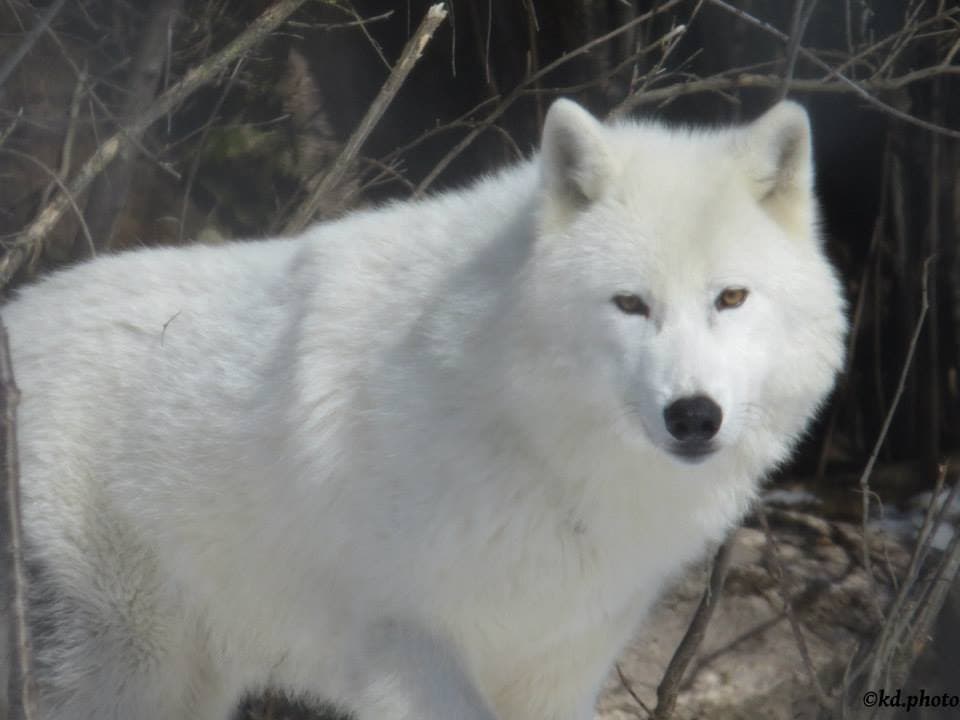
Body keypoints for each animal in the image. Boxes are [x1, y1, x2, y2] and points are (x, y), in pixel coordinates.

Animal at [2, 98, 845, 719]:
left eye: (730, 297)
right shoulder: (412, 646)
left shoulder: (560, 666)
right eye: (630, 304)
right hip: (124, 669)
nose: (694, 415)